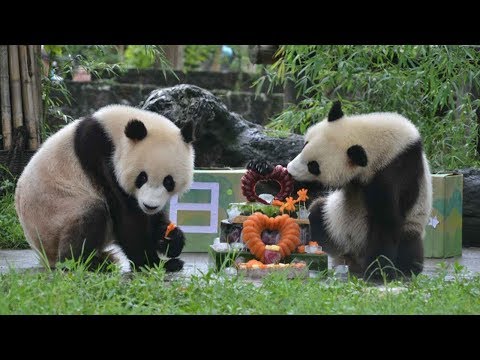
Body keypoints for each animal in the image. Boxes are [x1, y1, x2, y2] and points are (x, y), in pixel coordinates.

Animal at [15, 104, 195, 272]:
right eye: (142, 177)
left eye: (168, 181)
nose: (150, 206)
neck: (113, 132)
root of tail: (44, 255)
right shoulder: (100, 156)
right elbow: (127, 215)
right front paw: (154, 264)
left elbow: (148, 216)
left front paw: (170, 240)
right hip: (56, 217)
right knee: (92, 213)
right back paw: (87, 263)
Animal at [286, 101, 434, 278]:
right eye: (305, 144)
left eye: (314, 166)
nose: (290, 170)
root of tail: (353, 257)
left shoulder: (396, 170)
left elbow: (386, 220)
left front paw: (378, 270)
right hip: (334, 225)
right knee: (318, 213)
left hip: (413, 223)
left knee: (409, 242)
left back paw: (406, 268)